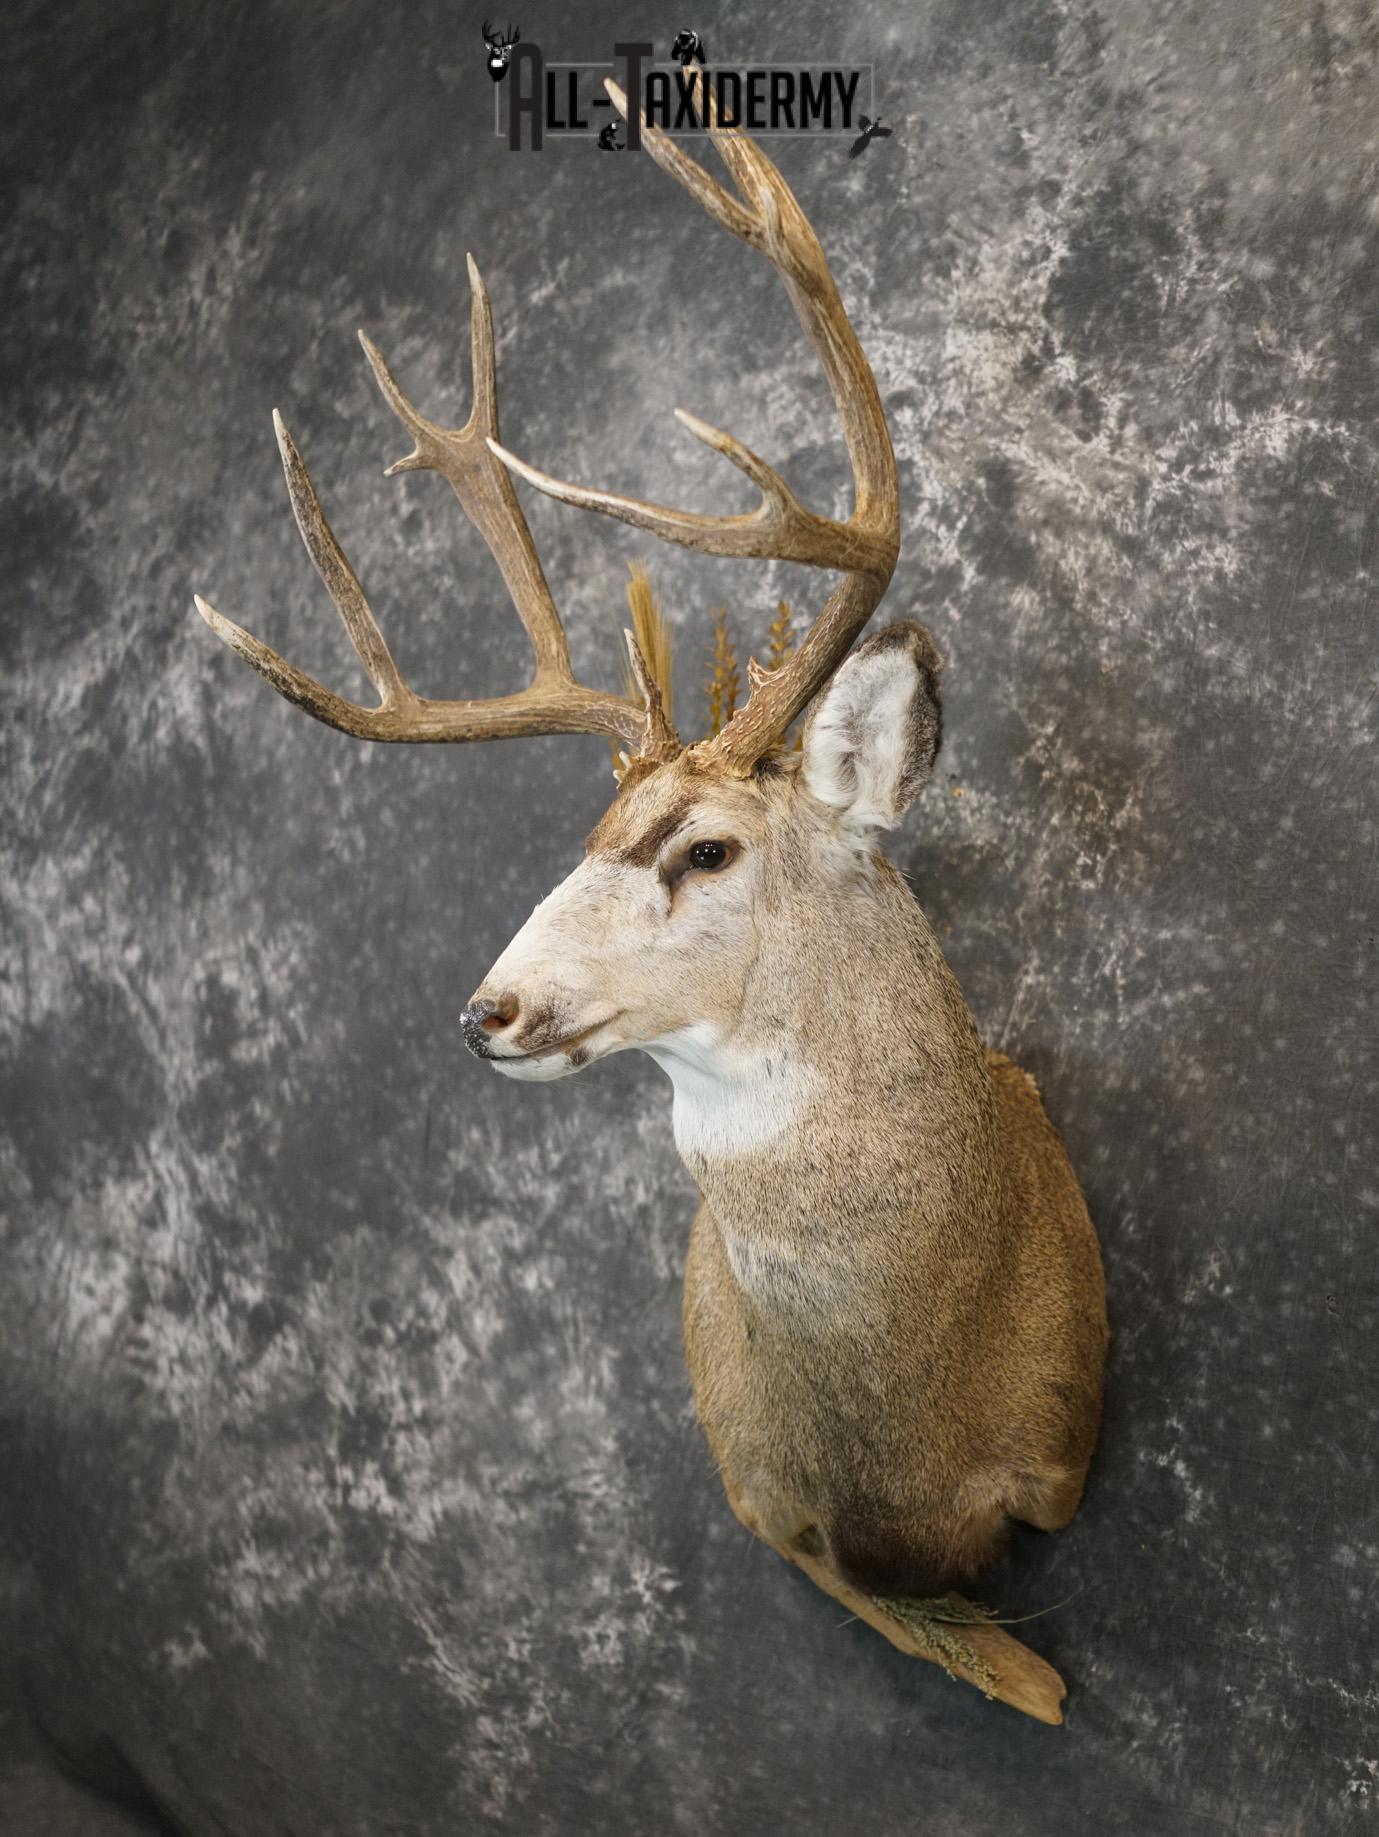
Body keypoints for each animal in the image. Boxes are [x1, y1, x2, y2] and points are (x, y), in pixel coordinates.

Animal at [195, 74, 1108, 1725]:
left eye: (703, 850)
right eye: (590, 830)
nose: (484, 1010)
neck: (917, 1415)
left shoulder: (1063, 1428)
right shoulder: (770, 1500)